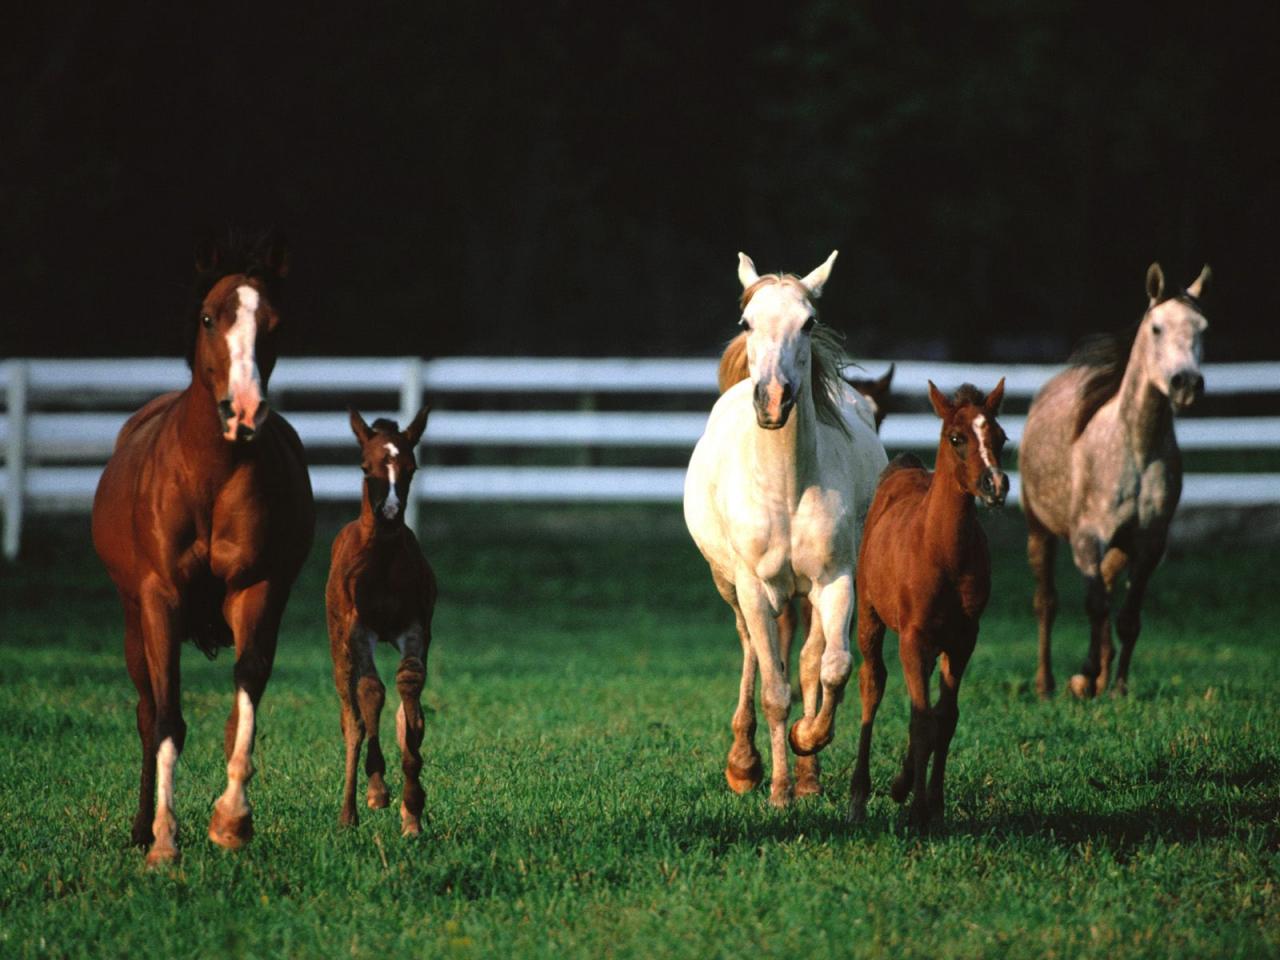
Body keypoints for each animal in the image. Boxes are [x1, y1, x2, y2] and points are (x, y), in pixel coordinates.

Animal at [92, 236, 312, 870]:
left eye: (275, 324)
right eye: (210, 318)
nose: (243, 411)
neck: (211, 473)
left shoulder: (259, 591)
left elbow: (246, 695)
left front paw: (231, 822)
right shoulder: (158, 601)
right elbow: (167, 718)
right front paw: (164, 841)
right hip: (132, 623)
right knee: (147, 714)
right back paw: (142, 828)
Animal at [325, 409, 435, 839]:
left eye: (411, 468)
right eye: (364, 467)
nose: (389, 513)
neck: (384, 560)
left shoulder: (415, 626)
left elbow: (409, 694)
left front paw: (414, 807)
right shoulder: (359, 628)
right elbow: (370, 693)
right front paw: (374, 793)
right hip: (337, 639)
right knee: (349, 713)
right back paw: (352, 809)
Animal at [686, 249, 885, 803]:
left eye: (809, 322)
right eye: (746, 322)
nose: (773, 399)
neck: (786, 488)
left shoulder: (836, 581)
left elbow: (832, 668)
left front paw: (807, 741)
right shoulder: (753, 588)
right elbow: (774, 689)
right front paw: (776, 790)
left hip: (806, 593)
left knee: (809, 660)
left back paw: (809, 777)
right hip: (731, 586)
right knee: (752, 651)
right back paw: (745, 763)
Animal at [849, 378, 1008, 829]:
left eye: (1001, 437)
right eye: (956, 438)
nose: (996, 484)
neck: (941, 550)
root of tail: (903, 467)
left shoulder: (963, 640)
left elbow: (945, 718)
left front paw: (932, 803)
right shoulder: (913, 638)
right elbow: (921, 719)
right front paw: (917, 808)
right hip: (870, 618)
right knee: (872, 683)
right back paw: (859, 796)